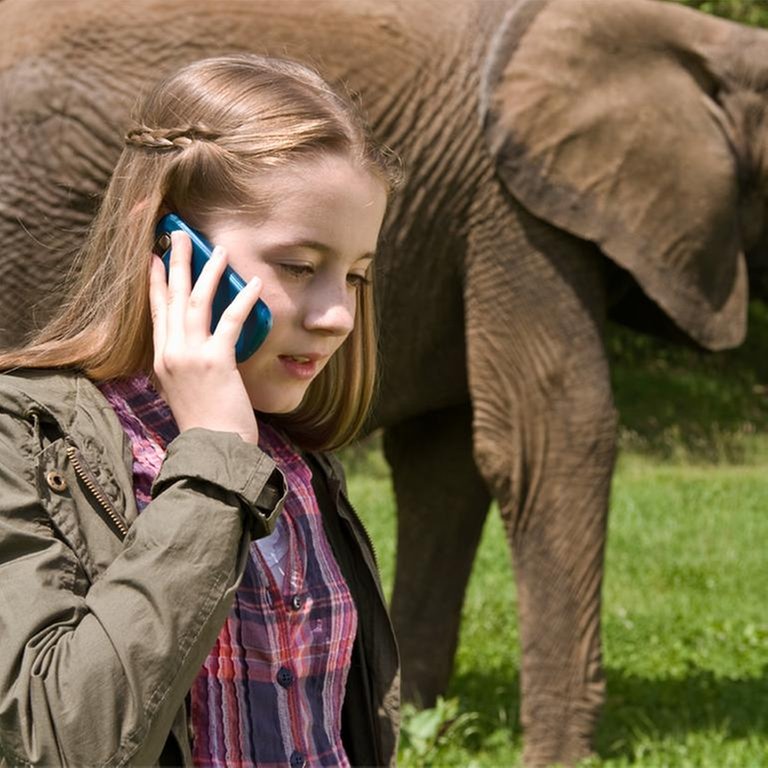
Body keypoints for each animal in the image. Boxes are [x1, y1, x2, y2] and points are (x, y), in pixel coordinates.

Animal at [1, 0, 768, 764]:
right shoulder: (513, 213)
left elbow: (447, 465)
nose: (337, 324)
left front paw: (420, 712)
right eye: (302, 268)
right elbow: (553, 435)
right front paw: (557, 756)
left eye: (357, 275)